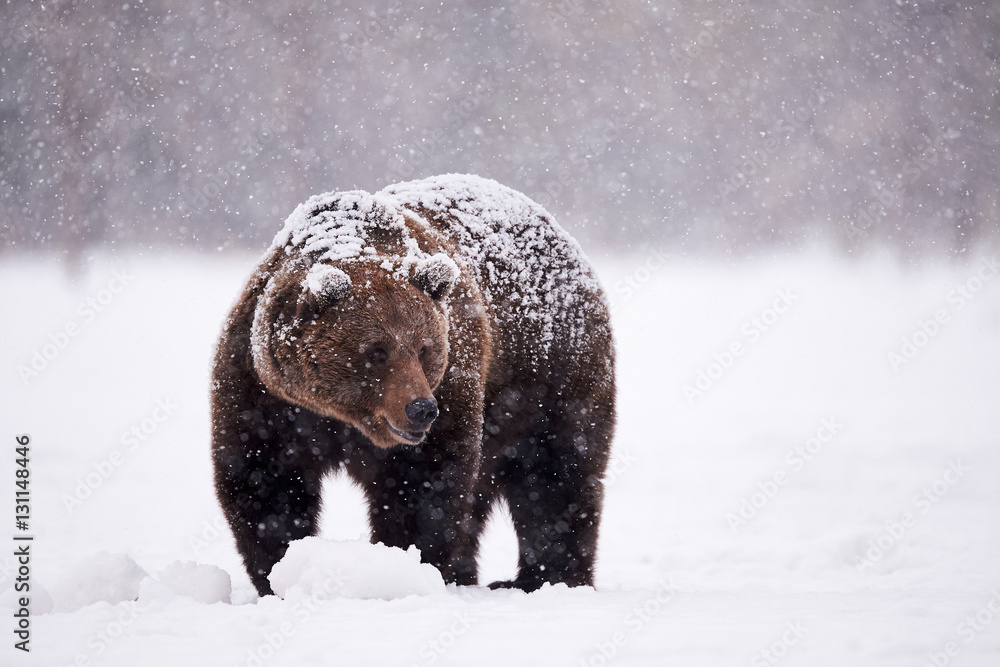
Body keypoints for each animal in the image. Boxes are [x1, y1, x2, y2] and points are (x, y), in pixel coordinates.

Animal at [211, 174, 615, 596]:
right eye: (376, 350)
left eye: (424, 349)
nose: (421, 408)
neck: (342, 416)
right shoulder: (265, 395)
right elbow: (264, 481)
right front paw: (279, 572)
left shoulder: (454, 381)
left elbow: (423, 486)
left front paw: (403, 565)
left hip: (548, 376)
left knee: (556, 473)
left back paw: (547, 577)